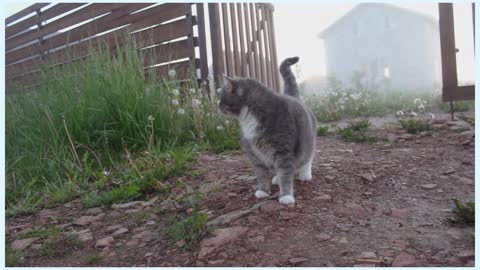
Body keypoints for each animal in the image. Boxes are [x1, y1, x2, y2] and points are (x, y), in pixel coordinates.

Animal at [217, 57, 316, 205]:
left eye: (222, 98)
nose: (217, 106)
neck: (248, 117)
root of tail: (293, 97)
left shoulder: (283, 151)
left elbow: (286, 174)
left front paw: (286, 196)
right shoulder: (255, 154)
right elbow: (262, 174)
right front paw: (263, 191)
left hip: (308, 141)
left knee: (307, 157)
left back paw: (304, 174)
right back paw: (276, 178)